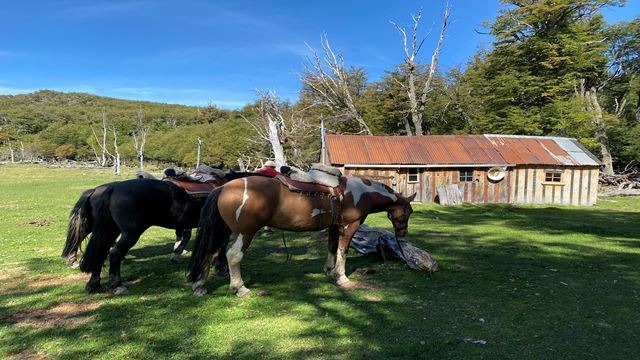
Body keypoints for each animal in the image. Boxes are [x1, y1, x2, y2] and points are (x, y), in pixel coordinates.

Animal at [186, 176, 416, 296]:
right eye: (409, 211)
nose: (403, 232)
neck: (359, 192)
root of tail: (223, 187)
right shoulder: (350, 226)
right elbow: (342, 251)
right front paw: (342, 278)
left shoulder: (334, 226)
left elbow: (332, 248)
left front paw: (329, 271)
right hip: (245, 232)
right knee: (233, 256)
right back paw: (240, 287)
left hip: (224, 231)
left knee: (211, 253)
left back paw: (199, 286)